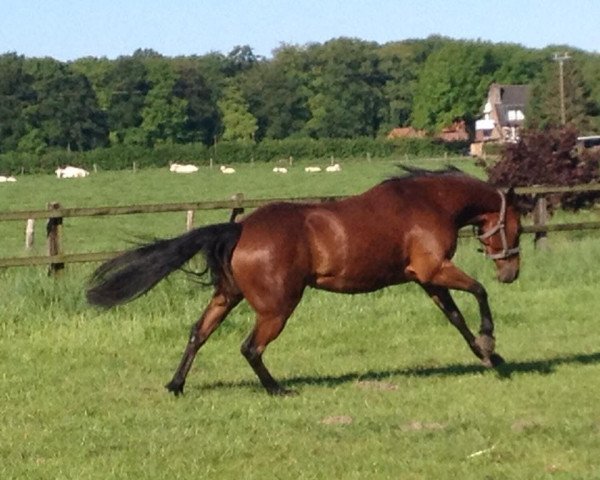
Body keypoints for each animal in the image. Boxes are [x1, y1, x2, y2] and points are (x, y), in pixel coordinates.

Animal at [88, 167, 520, 396]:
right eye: (516, 227)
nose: (511, 273)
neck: (428, 202)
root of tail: (240, 229)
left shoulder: (427, 279)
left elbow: (456, 318)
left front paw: (490, 357)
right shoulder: (434, 270)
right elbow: (478, 292)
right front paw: (490, 342)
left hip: (227, 296)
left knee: (199, 333)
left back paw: (176, 385)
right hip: (278, 307)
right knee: (250, 347)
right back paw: (278, 389)